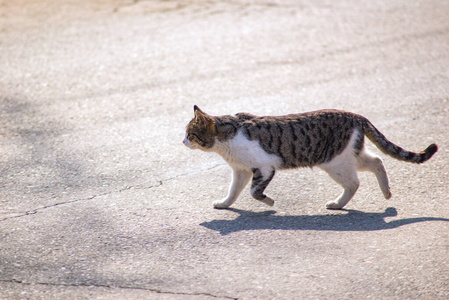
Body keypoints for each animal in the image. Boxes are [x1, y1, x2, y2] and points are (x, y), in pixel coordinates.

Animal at [182, 105, 438, 209]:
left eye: (190, 134)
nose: (182, 141)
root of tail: (356, 116)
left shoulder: (264, 167)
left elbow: (254, 192)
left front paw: (269, 202)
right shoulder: (241, 170)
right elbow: (233, 192)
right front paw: (224, 204)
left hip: (335, 162)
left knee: (354, 183)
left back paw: (337, 204)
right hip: (349, 156)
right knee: (377, 161)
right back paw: (386, 192)